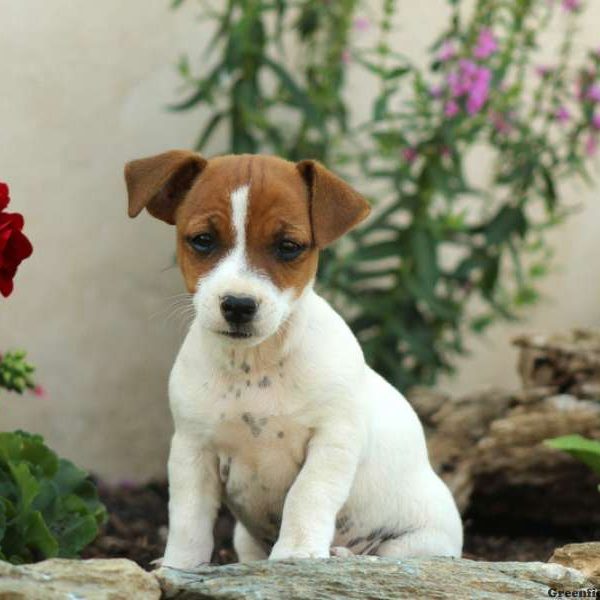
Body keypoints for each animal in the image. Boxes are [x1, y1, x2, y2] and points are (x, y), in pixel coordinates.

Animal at [125, 150, 464, 568]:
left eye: (288, 246)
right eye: (203, 240)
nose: (238, 305)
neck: (255, 364)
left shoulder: (332, 440)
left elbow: (307, 495)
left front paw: (297, 554)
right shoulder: (193, 449)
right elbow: (189, 517)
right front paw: (180, 565)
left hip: (423, 540)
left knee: (388, 555)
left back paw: (344, 554)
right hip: (244, 538)